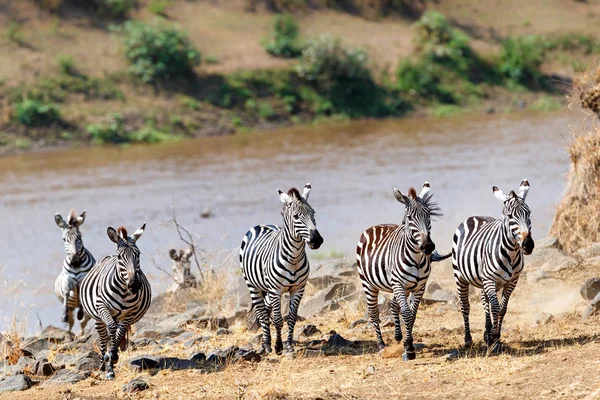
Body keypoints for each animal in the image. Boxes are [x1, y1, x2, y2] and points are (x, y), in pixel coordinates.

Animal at [80, 223, 151, 380]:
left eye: (138, 254)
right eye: (119, 257)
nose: (134, 285)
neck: (124, 292)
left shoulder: (130, 313)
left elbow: (119, 333)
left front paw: (113, 356)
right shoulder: (102, 307)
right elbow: (111, 329)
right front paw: (109, 366)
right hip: (99, 318)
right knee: (103, 337)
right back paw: (102, 364)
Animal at [239, 183, 324, 354]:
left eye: (313, 213)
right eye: (296, 216)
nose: (317, 240)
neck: (294, 258)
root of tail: (261, 225)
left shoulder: (298, 289)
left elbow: (291, 318)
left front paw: (289, 346)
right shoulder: (275, 290)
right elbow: (278, 320)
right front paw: (278, 346)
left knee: (265, 309)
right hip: (253, 285)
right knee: (262, 313)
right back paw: (267, 345)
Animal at [356, 183, 450, 360]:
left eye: (428, 215)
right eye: (410, 218)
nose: (428, 246)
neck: (417, 259)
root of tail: (374, 227)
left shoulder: (420, 287)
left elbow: (412, 314)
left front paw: (406, 343)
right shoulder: (399, 284)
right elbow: (406, 313)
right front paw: (410, 349)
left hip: (402, 287)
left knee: (393, 305)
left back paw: (398, 337)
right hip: (369, 284)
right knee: (374, 312)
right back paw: (381, 345)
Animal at [450, 180, 536, 352]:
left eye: (529, 213)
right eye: (510, 216)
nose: (528, 245)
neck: (511, 253)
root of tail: (474, 217)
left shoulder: (512, 281)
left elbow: (502, 308)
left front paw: (494, 336)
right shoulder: (490, 280)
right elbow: (496, 308)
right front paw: (494, 337)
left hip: (484, 281)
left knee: (485, 301)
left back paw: (486, 331)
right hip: (460, 277)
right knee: (465, 306)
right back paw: (468, 340)